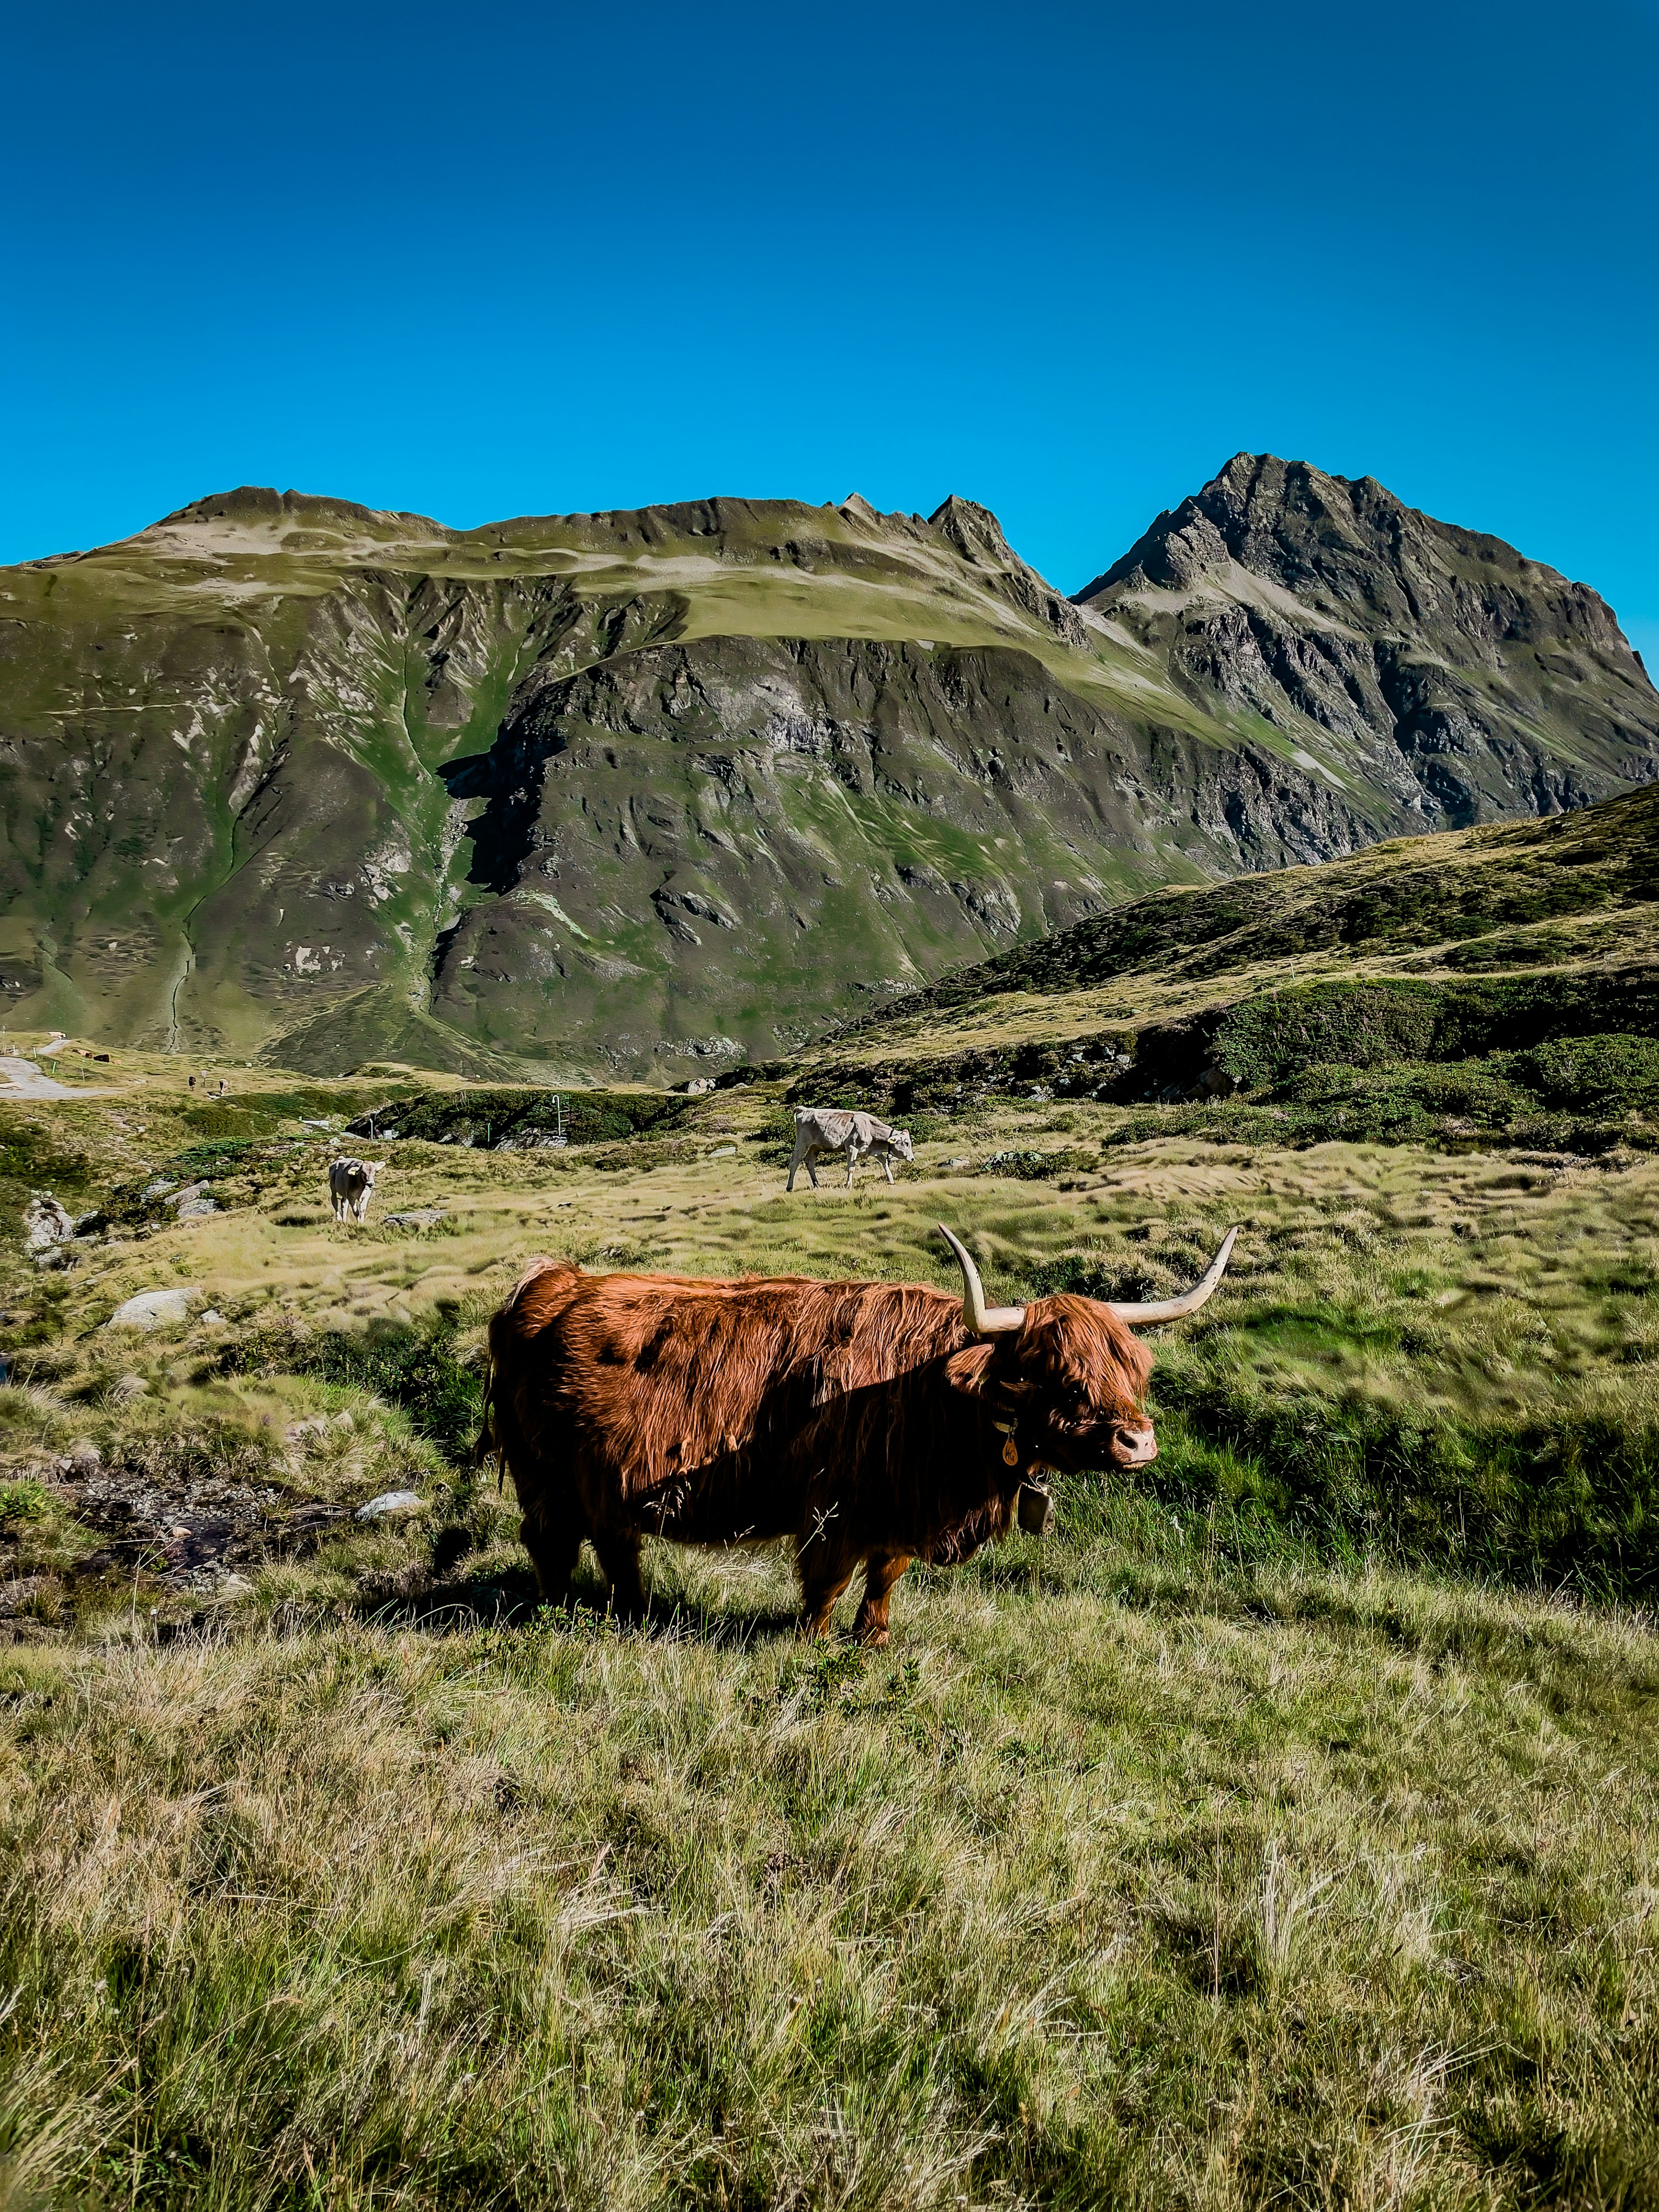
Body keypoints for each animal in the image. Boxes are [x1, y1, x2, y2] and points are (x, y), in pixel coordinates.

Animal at [479, 1221, 1237, 1644]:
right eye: (1054, 1374)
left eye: (1131, 1366)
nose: (1138, 1443)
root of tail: (554, 1282)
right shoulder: (835, 1511)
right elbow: (828, 1584)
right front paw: (811, 1643)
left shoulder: (898, 1511)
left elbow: (885, 1578)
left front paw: (873, 1641)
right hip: (543, 1472)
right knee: (552, 1542)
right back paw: (561, 1613)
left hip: (605, 1479)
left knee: (615, 1544)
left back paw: (635, 1614)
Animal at [786, 1107, 915, 1191]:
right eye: (906, 1143)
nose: (912, 1159)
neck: (870, 1128)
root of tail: (804, 1109)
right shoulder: (852, 1147)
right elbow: (851, 1168)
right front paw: (848, 1185)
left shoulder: (872, 1150)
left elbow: (885, 1162)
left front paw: (891, 1180)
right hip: (802, 1143)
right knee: (794, 1163)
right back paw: (789, 1187)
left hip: (815, 1146)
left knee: (809, 1161)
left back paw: (817, 1184)